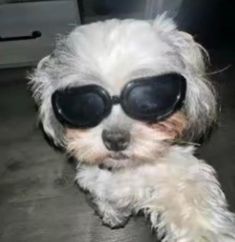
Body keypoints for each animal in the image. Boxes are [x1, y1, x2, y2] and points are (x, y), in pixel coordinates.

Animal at [30, 14, 235, 242]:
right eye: (84, 104)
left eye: (149, 99)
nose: (115, 140)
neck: (128, 169)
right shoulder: (96, 180)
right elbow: (107, 198)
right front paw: (113, 214)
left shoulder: (181, 172)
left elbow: (191, 206)